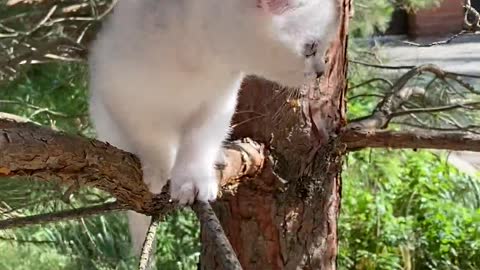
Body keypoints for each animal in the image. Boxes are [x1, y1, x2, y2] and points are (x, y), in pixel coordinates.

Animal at [89, 0, 338, 253]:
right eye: (311, 47)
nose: (321, 71)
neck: (201, 59)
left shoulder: (218, 105)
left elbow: (199, 143)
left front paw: (192, 180)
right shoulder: (124, 98)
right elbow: (152, 140)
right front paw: (160, 169)